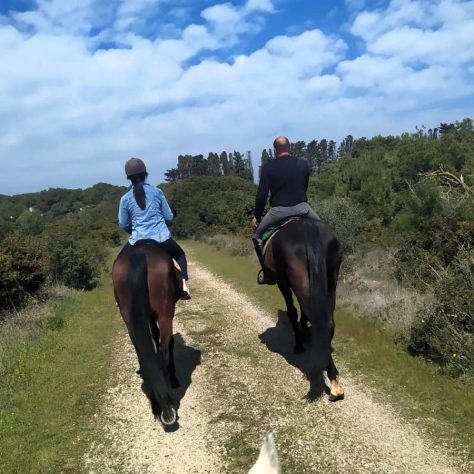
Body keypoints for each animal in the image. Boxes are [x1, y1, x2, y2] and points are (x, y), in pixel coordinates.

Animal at [112, 241, 182, 426]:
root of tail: (140, 254)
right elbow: (166, 343)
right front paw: (174, 378)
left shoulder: (147, 316)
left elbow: (154, 339)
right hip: (165, 313)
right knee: (164, 350)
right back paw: (168, 404)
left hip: (130, 319)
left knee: (143, 355)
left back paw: (157, 404)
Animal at [262, 218, 344, 400]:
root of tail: (308, 226)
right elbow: (303, 314)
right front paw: (305, 334)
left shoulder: (283, 282)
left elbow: (293, 312)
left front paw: (299, 344)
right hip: (331, 282)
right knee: (327, 322)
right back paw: (334, 379)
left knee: (319, 321)